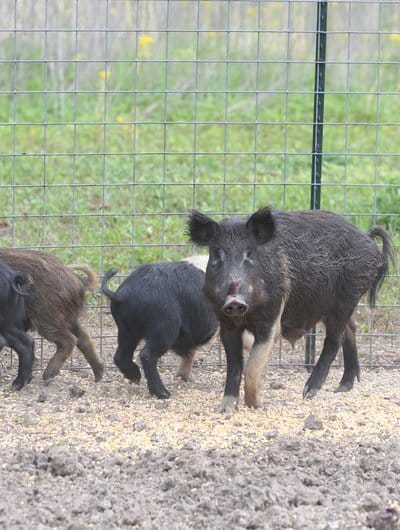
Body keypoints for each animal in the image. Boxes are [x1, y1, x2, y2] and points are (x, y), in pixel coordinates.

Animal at [188, 206, 394, 412]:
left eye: (249, 254)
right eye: (217, 255)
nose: (234, 300)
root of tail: (368, 239)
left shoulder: (272, 316)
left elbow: (253, 366)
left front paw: (256, 405)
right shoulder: (226, 324)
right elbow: (234, 367)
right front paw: (225, 410)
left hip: (347, 298)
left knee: (334, 341)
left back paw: (308, 392)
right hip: (335, 306)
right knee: (351, 328)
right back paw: (342, 388)